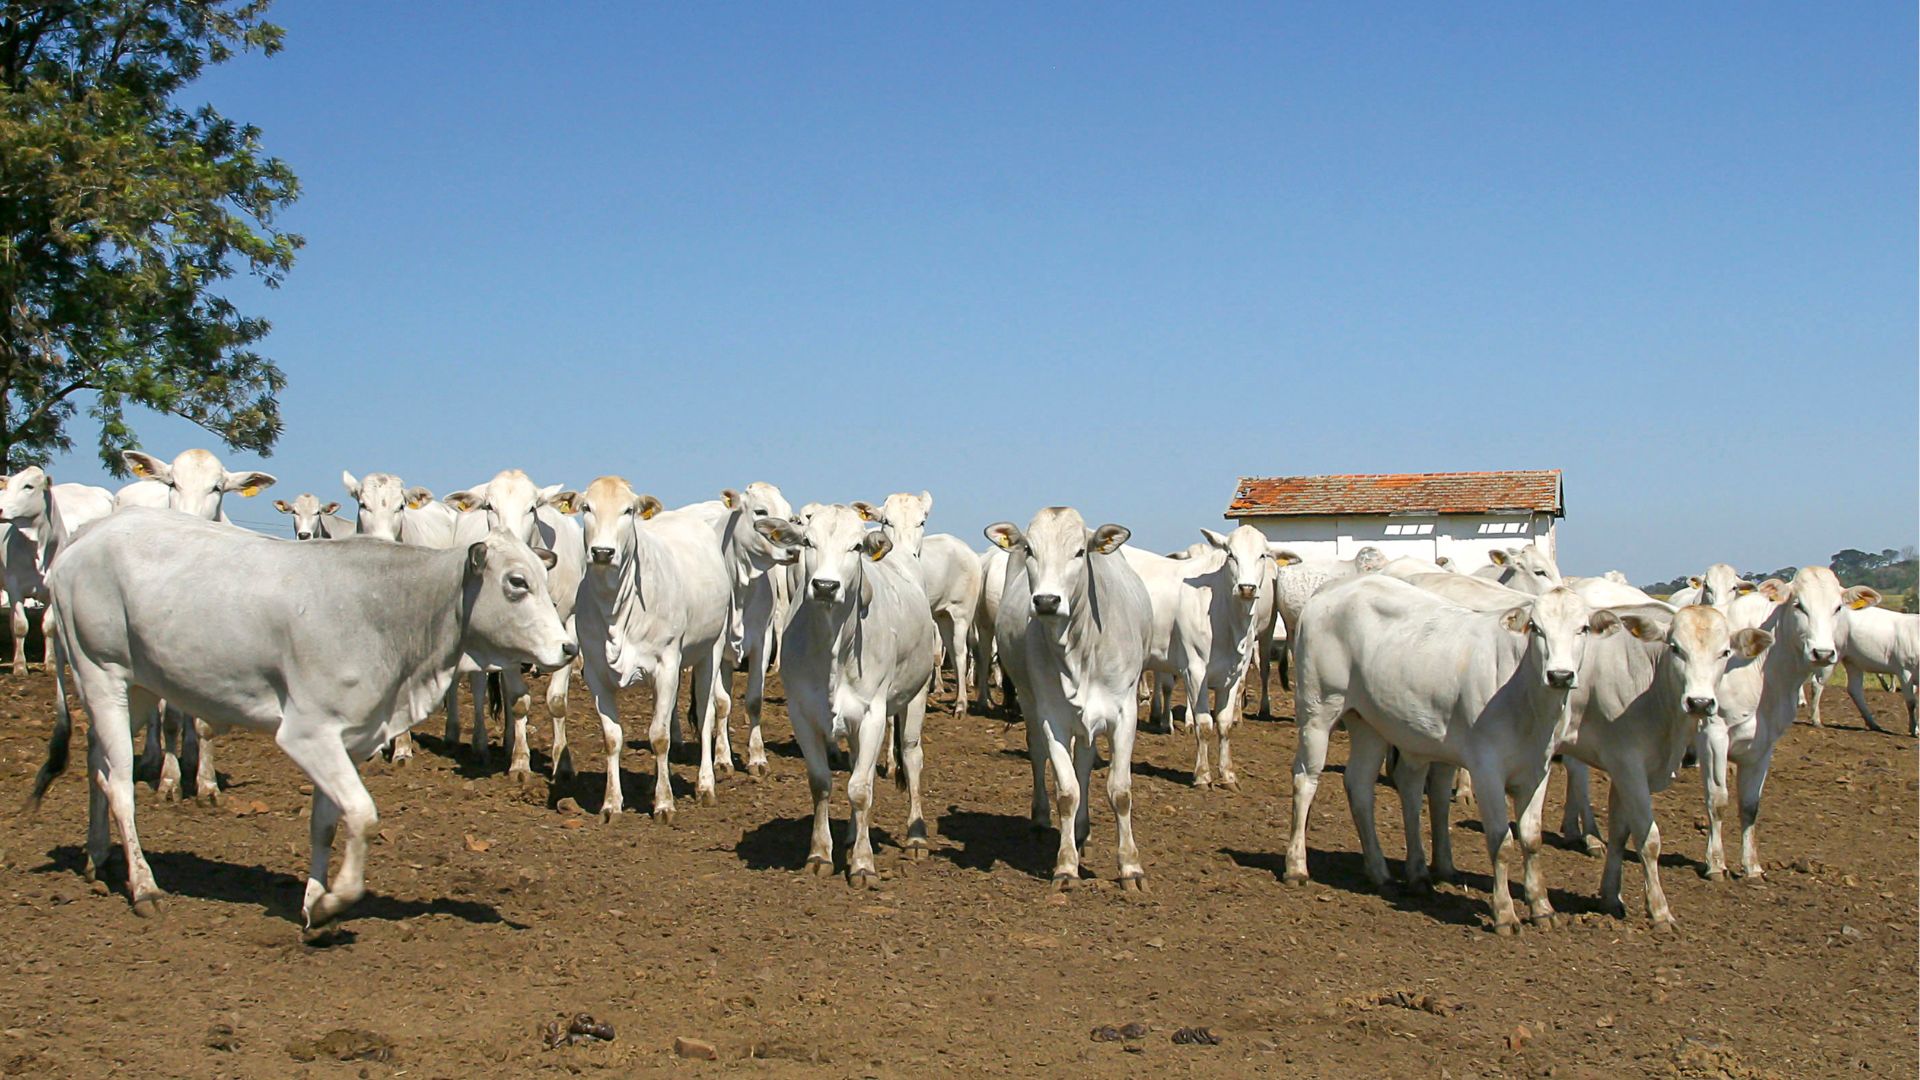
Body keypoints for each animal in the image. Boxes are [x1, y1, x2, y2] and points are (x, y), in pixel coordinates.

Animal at [560, 474, 733, 818]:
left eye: (628, 510)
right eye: (587, 507)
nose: (603, 552)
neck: (615, 609)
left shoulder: (666, 665)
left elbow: (660, 736)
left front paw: (664, 803)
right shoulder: (595, 673)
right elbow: (612, 738)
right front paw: (611, 803)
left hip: (711, 649)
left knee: (706, 715)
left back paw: (705, 785)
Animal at [998, 507, 1144, 887]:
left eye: (1080, 552)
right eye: (1029, 550)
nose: (1047, 601)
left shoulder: (1124, 713)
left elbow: (1120, 791)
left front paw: (1130, 866)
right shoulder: (1053, 717)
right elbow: (1067, 791)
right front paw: (1065, 865)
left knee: (1085, 763)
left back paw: (1083, 832)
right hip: (1029, 700)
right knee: (1038, 754)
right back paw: (1042, 819)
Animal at [1282, 572, 1612, 933]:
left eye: (1583, 628)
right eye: (1536, 628)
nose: (1560, 675)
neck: (1526, 698)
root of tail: (1334, 587)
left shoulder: (1538, 769)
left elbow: (1531, 838)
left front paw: (1542, 907)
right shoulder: (1485, 769)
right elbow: (1501, 841)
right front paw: (1504, 913)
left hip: (1368, 722)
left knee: (1359, 785)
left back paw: (1381, 872)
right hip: (1318, 709)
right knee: (1305, 779)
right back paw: (1296, 867)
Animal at [1697, 564, 1873, 876]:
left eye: (1838, 607)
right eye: (1798, 605)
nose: (1823, 653)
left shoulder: (1765, 743)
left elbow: (1750, 805)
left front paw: (1751, 866)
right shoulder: (1713, 734)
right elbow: (1717, 800)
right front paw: (1715, 864)